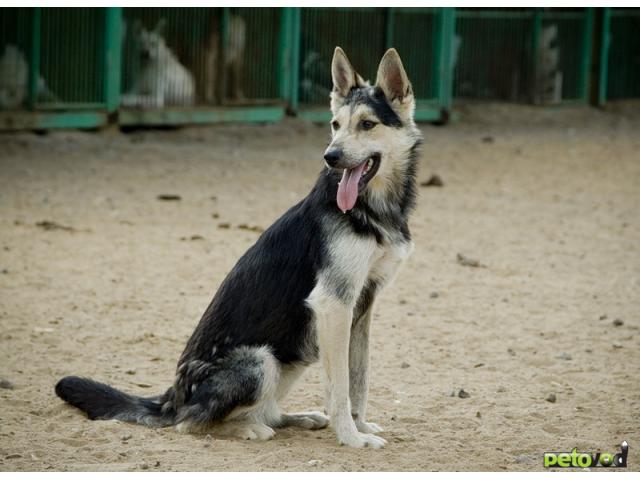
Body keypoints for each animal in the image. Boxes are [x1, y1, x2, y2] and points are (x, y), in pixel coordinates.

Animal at [57, 47, 422, 448]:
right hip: (262, 361)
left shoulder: (360, 307)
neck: (374, 208)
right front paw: (350, 437)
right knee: (192, 422)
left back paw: (298, 418)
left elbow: (359, 379)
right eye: (335, 124)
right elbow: (339, 386)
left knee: (262, 410)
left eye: (367, 124)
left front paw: (360, 425)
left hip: (294, 354)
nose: (331, 156)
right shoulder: (334, 305)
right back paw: (247, 428)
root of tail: (172, 398)